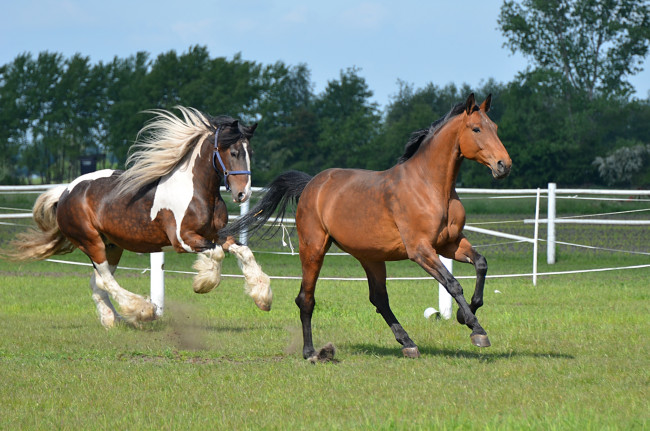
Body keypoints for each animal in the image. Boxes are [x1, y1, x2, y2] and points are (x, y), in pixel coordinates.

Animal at [7, 107, 270, 328]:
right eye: (233, 152)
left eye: (251, 152)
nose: (242, 194)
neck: (197, 192)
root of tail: (65, 193)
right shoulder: (183, 240)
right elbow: (216, 254)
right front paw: (203, 283)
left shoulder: (217, 235)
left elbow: (243, 251)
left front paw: (263, 298)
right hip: (91, 242)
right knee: (105, 280)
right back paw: (142, 311)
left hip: (112, 246)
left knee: (97, 283)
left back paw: (113, 320)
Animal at [220, 93, 508, 362]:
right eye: (476, 129)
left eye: (494, 126)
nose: (504, 165)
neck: (430, 187)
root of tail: (311, 184)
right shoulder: (421, 250)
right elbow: (452, 283)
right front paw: (477, 330)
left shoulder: (450, 243)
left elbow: (481, 264)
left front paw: (463, 315)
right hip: (314, 249)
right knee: (306, 298)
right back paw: (310, 352)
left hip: (371, 257)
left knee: (379, 298)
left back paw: (408, 343)